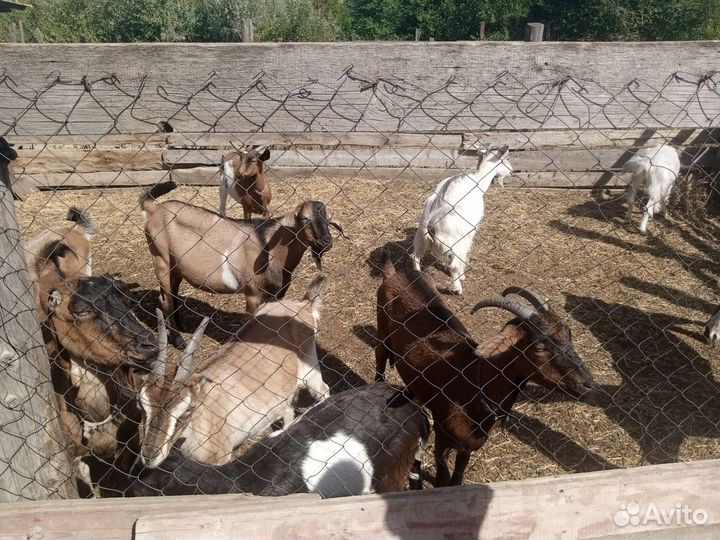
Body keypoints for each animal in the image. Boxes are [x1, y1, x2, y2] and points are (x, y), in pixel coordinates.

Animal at [138, 276, 331, 468]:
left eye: (187, 408)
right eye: (142, 404)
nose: (149, 455)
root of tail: (304, 305)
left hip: (310, 372)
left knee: (323, 391)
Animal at [140, 180, 342, 347]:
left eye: (328, 220)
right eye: (305, 218)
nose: (327, 241)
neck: (270, 249)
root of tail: (154, 208)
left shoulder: (275, 295)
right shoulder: (253, 294)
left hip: (176, 266)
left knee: (172, 294)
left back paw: (180, 327)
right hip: (161, 258)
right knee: (164, 301)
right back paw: (178, 340)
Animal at [375, 256, 595, 487]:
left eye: (569, 335)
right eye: (539, 347)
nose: (587, 384)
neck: (474, 382)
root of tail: (397, 273)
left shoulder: (470, 445)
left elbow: (458, 476)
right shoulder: (442, 439)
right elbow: (443, 478)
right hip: (382, 329)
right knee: (380, 355)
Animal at [411, 145, 513, 294]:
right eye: (507, 158)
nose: (512, 171)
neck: (478, 180)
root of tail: (430, 224)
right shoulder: (470, 233)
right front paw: (462, 276)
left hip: (420, 237)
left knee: (416, 256)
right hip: (456, 242)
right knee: (454, 264)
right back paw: (457, 289)